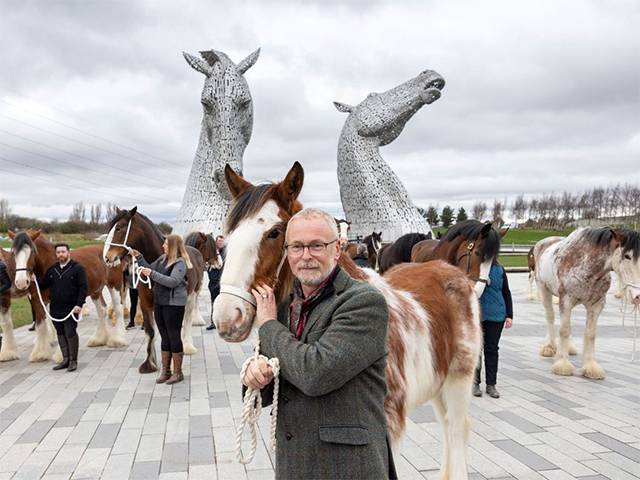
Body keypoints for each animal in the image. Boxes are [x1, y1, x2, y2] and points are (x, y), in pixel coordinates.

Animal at [10, 231, 128, 362]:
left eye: (32, 252)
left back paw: (118, 339)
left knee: (118, 309)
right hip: (96, 291)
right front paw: (40, 354)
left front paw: (60, 355)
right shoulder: (37, 300)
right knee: (102, 310)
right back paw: (98, 339)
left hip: (114, 285)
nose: (21, 282)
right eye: (13, 252)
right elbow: (40, 325)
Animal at [104, 205, 205, 372]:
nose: (107, 258)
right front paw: (149, 364)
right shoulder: (146, 304)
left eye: (119, 228)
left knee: (188, 319)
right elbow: (150, 331)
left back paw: (188, 346)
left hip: (192, 296)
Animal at [215, 162, 480, 480]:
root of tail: (453, 272)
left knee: (456, 430)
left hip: (458, 381)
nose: (227, 317)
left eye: (274, 232)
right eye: (227, 236)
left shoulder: (390, 424)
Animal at [528, 227, 640, 380]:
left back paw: (569, 348)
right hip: (543, 289)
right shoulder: (566, 300)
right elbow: (564, 330)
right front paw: (562, 365)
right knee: (550, 317)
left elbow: (590, 333)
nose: (637, 296)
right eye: (627, 256)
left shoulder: (596, 305)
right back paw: (549, 347)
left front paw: (590, 367)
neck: (587, 264)